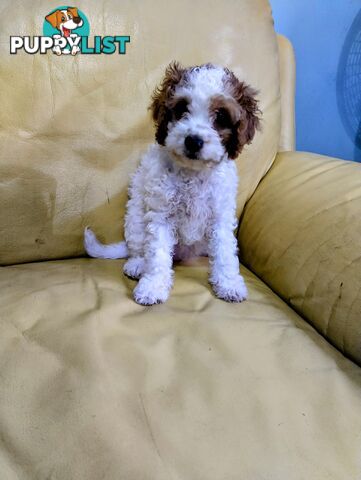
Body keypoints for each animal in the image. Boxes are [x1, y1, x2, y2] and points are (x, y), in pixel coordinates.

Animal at [83, 62, 258, 306]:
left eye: (221, 116)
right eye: (182, 108)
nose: (193, 141)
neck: (193, 171)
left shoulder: (220, 216)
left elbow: (224, 252)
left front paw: (229, 284)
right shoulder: (161, 215)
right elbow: (157, 255)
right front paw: (152, 287)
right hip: (135, 218)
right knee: (138, 247)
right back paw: (137, 264)